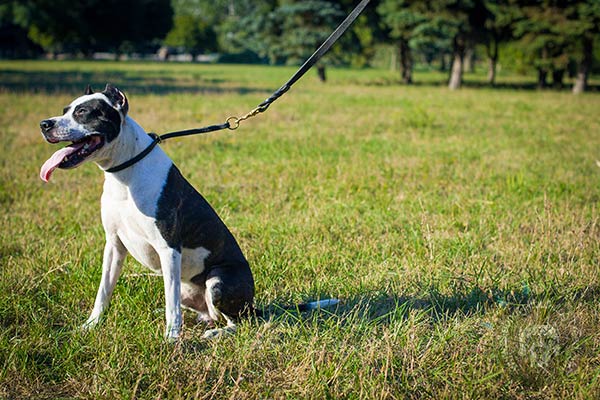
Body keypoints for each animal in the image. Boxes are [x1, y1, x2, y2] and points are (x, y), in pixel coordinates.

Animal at [39, 85, 255, 340]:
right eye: (65, 110)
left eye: (82, 112)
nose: (44, 124)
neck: (125, 173)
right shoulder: (113, 245)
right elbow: (103, 291)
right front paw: (91, 325)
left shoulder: (168, 249)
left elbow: (172, 306)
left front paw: (171, 339)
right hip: (185, 288)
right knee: (195, 308)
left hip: (218, 279)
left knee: (238, 322)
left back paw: (216, 333)